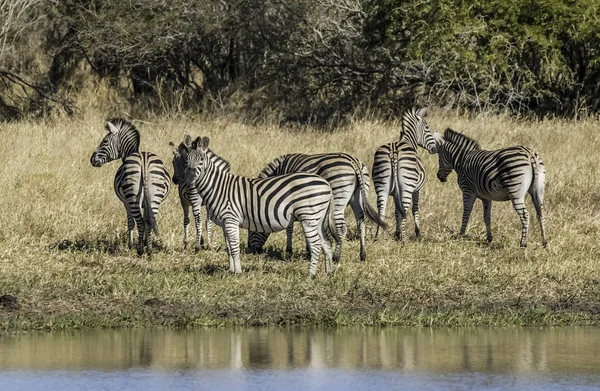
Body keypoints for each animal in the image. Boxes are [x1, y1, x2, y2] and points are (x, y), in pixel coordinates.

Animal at [89, 118, 170, 256]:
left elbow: (130, 222)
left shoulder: (126, 203)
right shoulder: (145, 203)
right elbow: (147, 219)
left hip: (132, 197)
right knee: (149, 221)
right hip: (154, 196)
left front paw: (131, 244)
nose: (91, 160)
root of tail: (144, 160)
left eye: (105, 141)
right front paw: (144, 242)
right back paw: (149, 250)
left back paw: (140, 250)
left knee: (140, 222)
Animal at [185, 136, 340, 278]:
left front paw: (238, 272)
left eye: (201, 159)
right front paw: (231, 270)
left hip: (308, 216)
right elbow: (228, 247)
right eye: (186, 160)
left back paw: (311, 274)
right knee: (326, 242)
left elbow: (234, 247)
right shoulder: (224, 223)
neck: (218, 187)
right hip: (318, 218)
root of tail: (326, 183)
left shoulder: (230, 219)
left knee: (316, 244)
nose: (191, 178)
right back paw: (329, 272)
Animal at [246, 153, 386, 264]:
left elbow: (290, 229)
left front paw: (290, 251)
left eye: (252, 228)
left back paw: (336, 257)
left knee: (341, 228)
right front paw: (309, 251)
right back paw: (362, 255)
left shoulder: (290, 204)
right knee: (361, 224)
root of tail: (354, 161)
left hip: (337, 197)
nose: (251, 250)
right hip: (359, 197)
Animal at [372, 107, 438, 242]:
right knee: (405, 210)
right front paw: (417, 233)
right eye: (427, 128)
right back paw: (405, 238)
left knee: (381, 210)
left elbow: (396, 211)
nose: (435, 149)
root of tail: (394, 150)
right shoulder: (418, 190)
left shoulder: (395, 193)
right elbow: (415, 210)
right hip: (407, 187)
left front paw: (397, 233)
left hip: (381, 185)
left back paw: (378, 236)